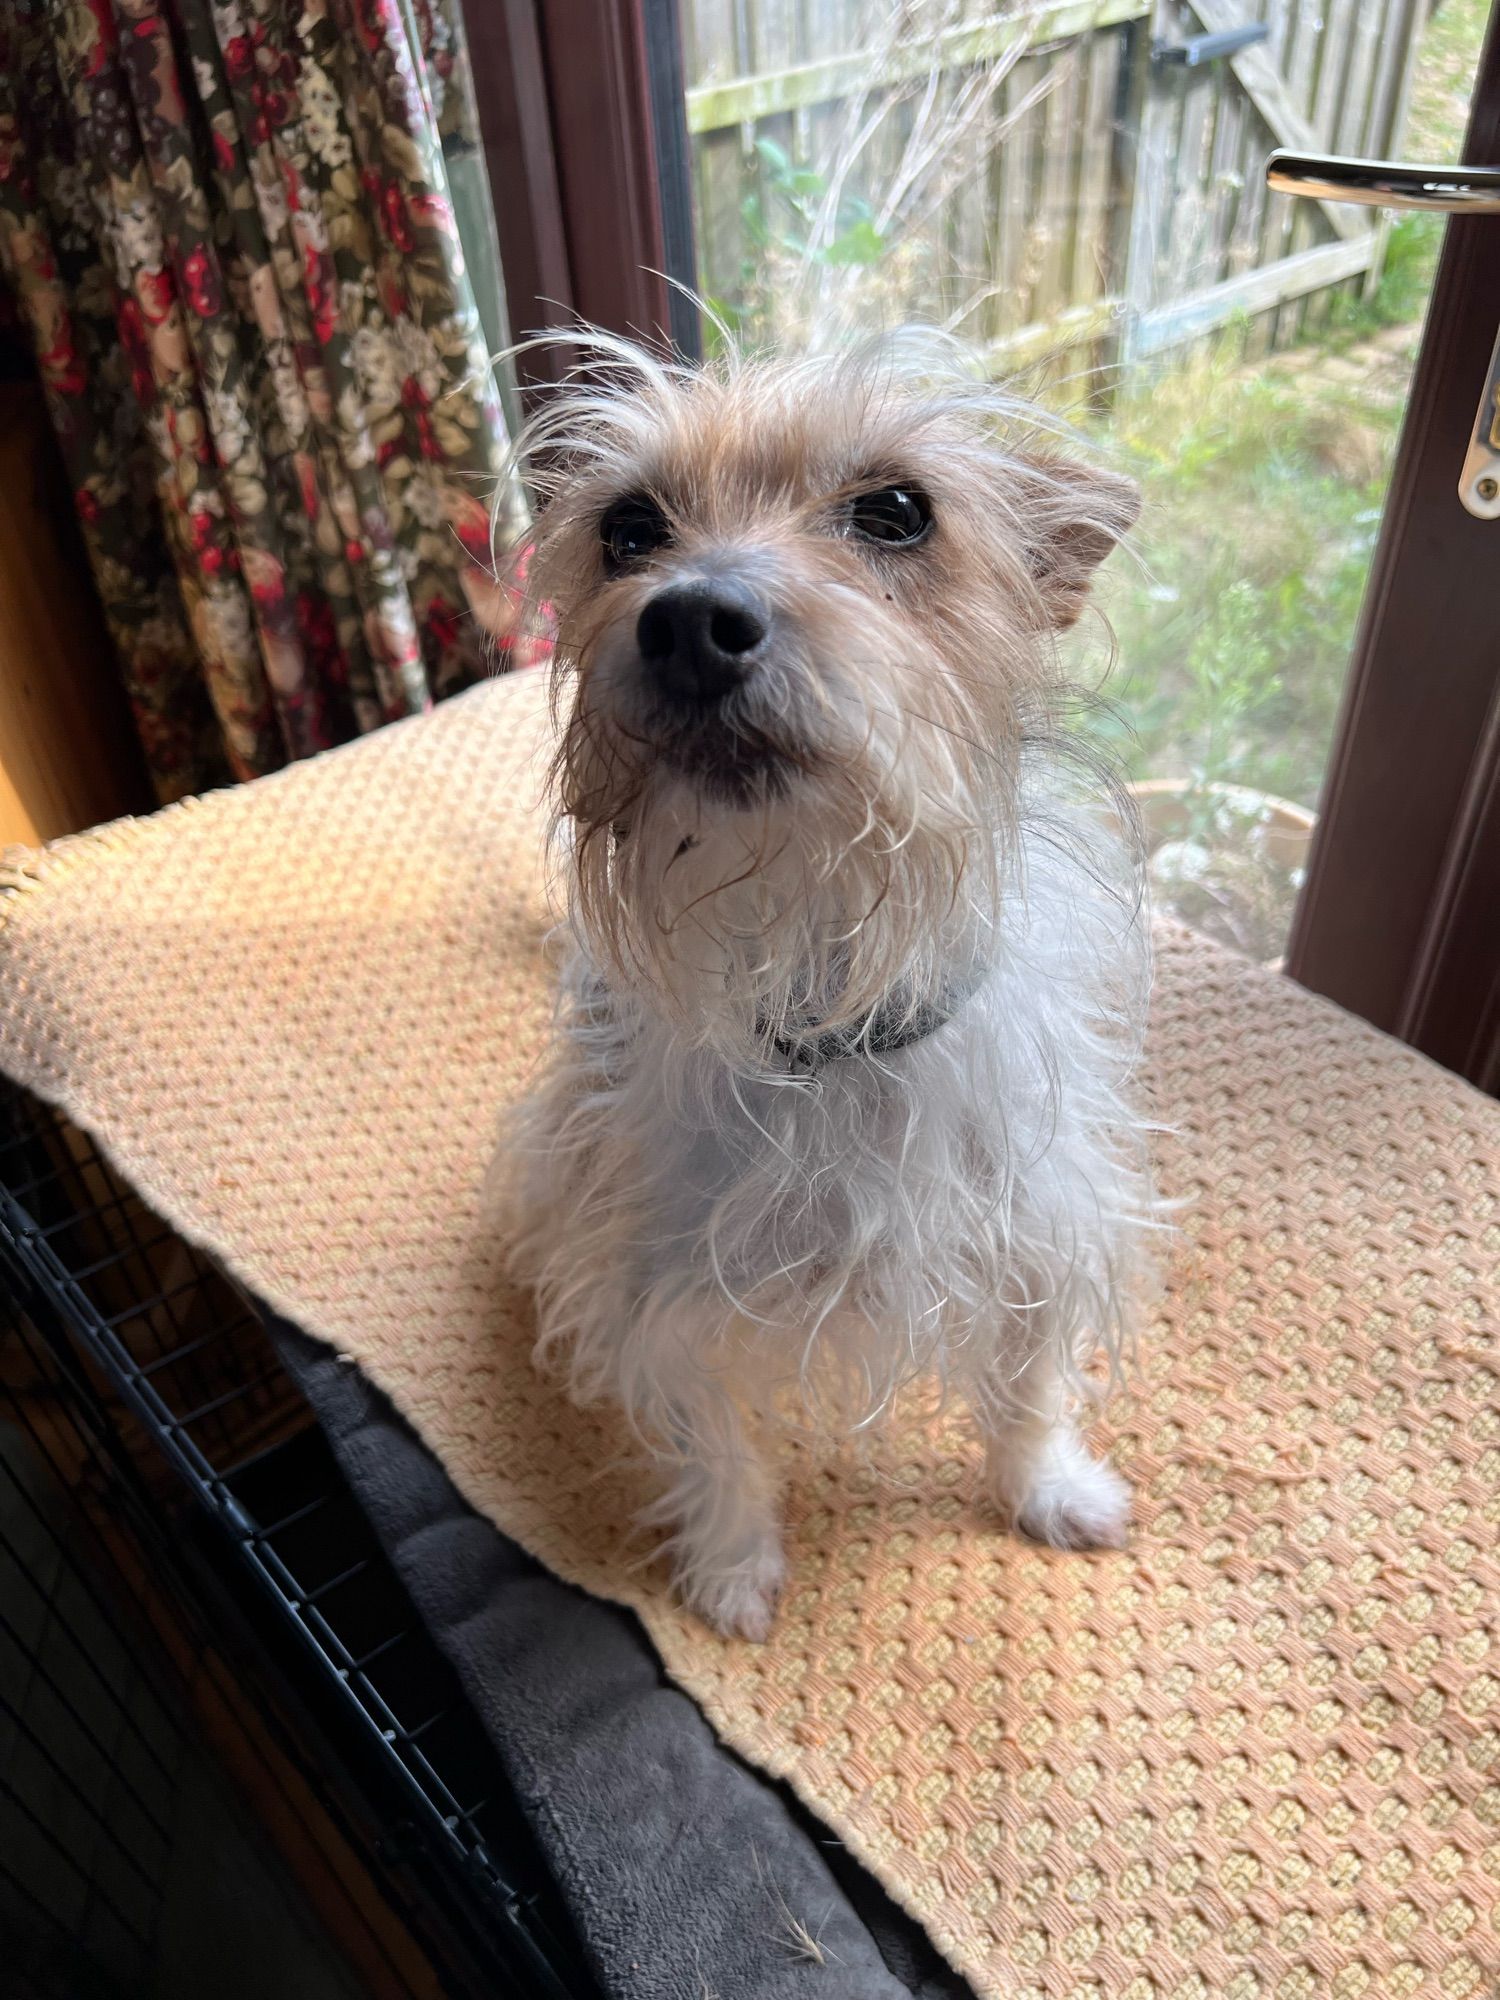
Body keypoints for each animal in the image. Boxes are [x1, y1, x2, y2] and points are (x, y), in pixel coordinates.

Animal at [500, 332, 1160, 1640]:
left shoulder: (1038, 1224)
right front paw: (732, 1563)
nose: (691, 619)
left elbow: (1031, 1382)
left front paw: (1049, 1490)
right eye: (629, 527)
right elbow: (711, 1439)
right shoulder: (657, 1287)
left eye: (898, 509)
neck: (831, 996)